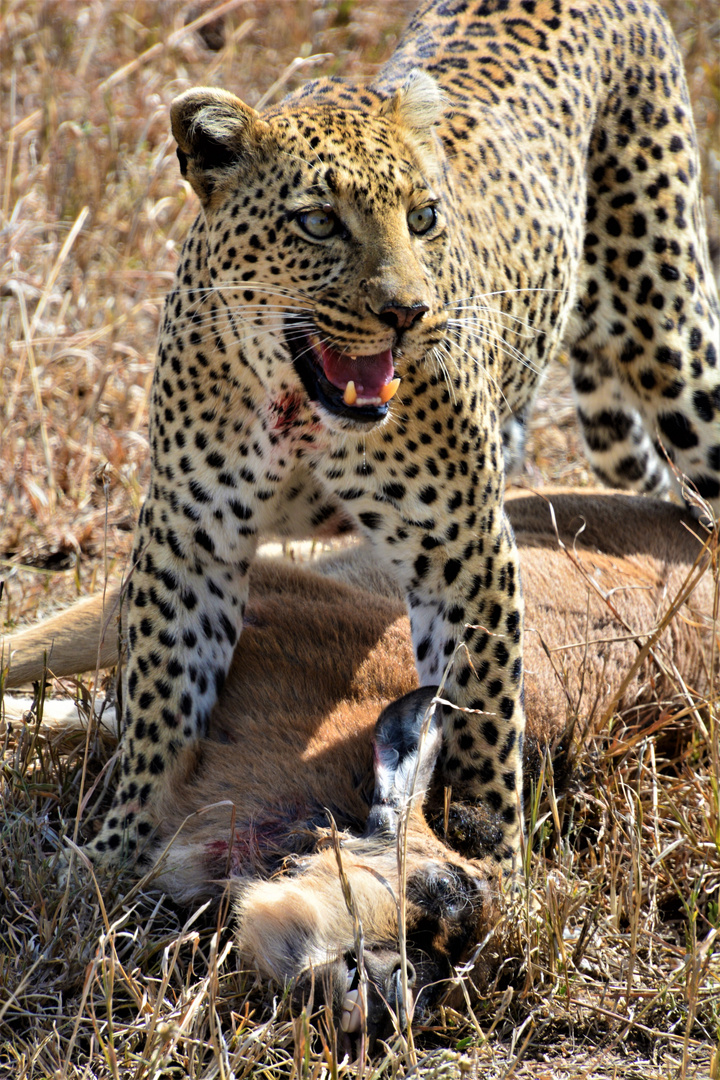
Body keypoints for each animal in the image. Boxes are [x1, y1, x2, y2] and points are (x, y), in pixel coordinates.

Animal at [80, 0, 720, 872]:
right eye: (318, 223)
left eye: (424, 217)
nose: (409, 313)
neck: (298, 414)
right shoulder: (191, 535)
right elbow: (160, 698)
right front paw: (116, 852)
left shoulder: (464, 544)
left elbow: (481, 706)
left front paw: (491, 852)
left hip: (674, 343)